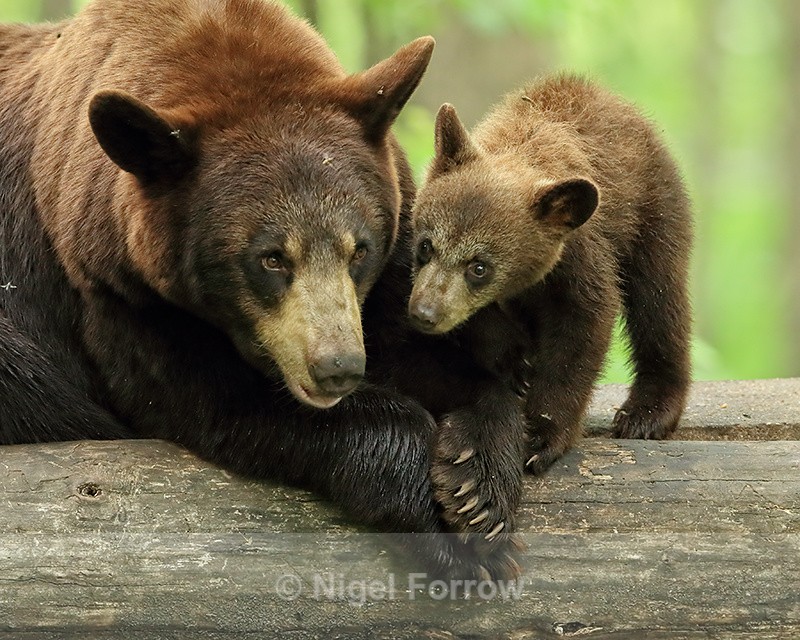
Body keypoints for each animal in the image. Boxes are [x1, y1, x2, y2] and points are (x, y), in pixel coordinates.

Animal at [0, 0, 520, 580]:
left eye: (359, 249)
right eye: (271, 257)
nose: (338, 368)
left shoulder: (385, 282)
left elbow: (429, 356)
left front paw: (479, 489)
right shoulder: (112, 292)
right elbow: (220, 400)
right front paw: (436, 524)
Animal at [405, 74, 693, 532]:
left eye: (479, 266)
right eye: (425, 245)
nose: (424, 314)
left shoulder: (580, 258)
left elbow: (583, 330)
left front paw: (539, 437)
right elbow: (487, 326)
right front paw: (515, 363)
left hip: (655, 211)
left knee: (660, 301)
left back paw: (647, 411)